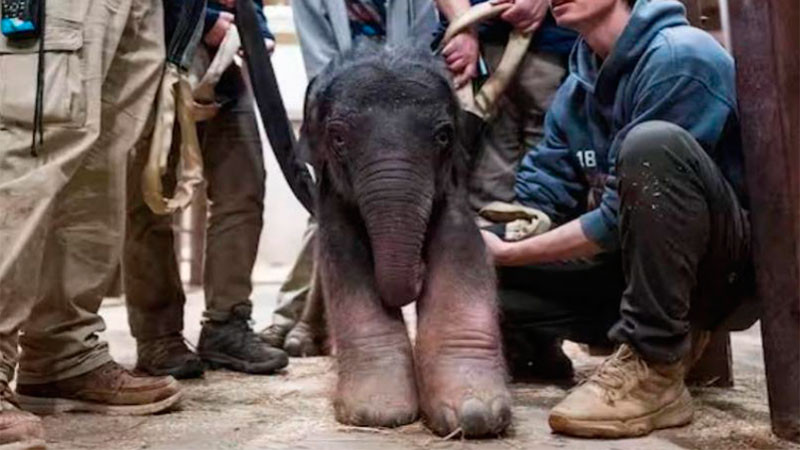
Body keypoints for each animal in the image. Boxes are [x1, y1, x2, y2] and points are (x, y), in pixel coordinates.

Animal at [300, 41, 511, 438]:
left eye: (443, 136)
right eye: (338, 138)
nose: (418, 270)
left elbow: (461, 249)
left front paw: (475, 412)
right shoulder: (330, 189)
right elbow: (343, 255)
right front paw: (378, 411)